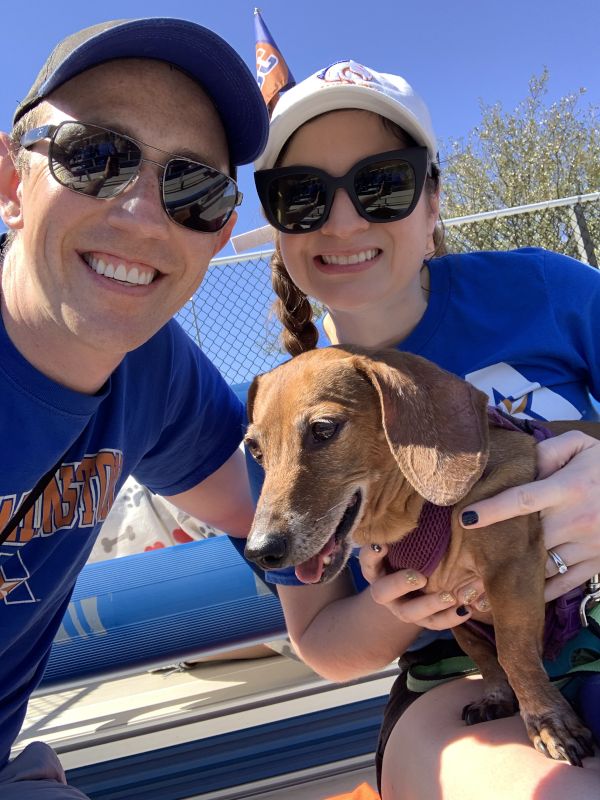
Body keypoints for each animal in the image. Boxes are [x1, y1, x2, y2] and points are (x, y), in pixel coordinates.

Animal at [244, 346, 600, 768]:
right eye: (255, 450)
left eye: (323, 429)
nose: (259, 551)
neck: (420, 511)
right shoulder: (458, 613)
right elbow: (485, 657)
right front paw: (497, 697)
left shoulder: (511, 569)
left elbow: (513, 653)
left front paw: (548, 722)